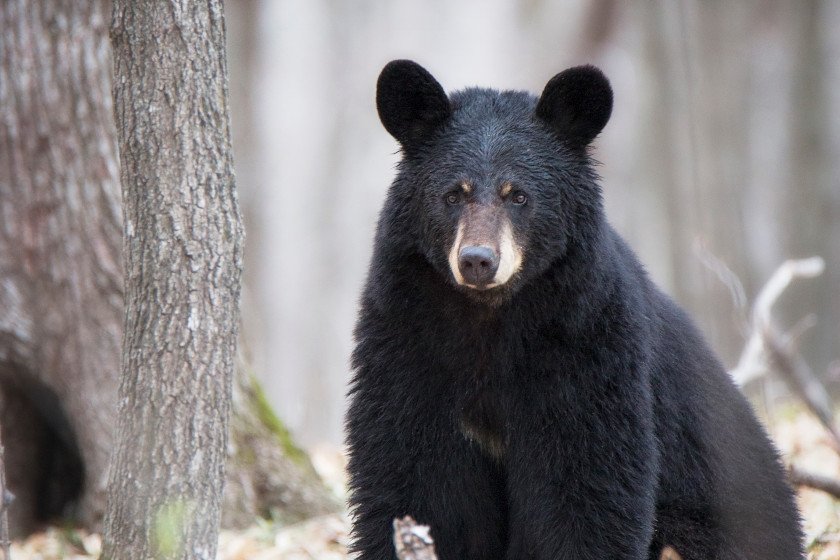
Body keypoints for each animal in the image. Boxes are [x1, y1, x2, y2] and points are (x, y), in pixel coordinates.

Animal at [344, 59, 804, 556]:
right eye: (452, 195)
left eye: (518, 195)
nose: (478, 260)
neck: (490, 316)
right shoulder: (407, 338)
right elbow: (411, 472)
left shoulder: (586, 342)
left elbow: (587, 481)